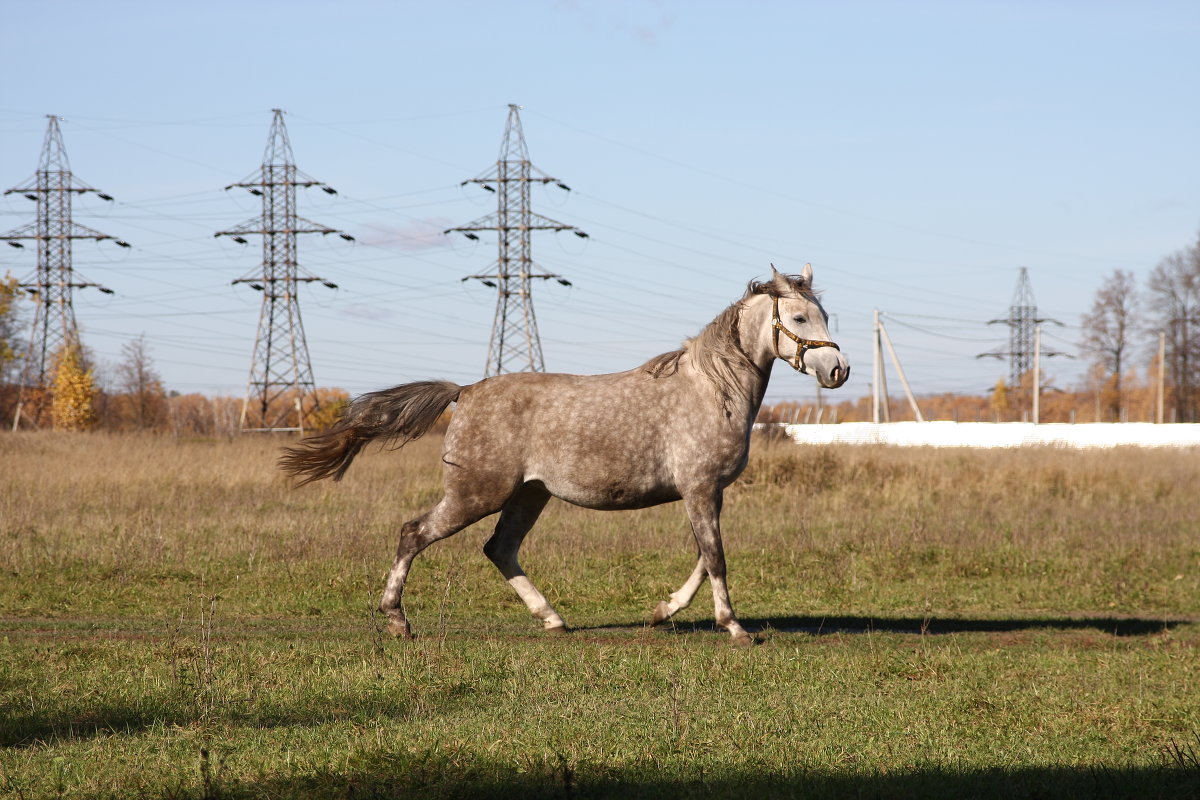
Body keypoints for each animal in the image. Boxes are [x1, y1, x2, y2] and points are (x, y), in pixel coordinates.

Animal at [278, 266, 854, 647]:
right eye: (799, 316)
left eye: (825, 315)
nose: (838, 371)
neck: (712, 391)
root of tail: (465, 391)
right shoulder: (700, 488)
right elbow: (715, 557)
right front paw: (734, 627)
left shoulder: (705, 492)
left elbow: (702, 556)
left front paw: (662, 611)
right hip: (476, 494)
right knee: (413, 534)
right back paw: (398, 620)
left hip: (527, 496)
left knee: (499, 549)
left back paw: (552, 619)